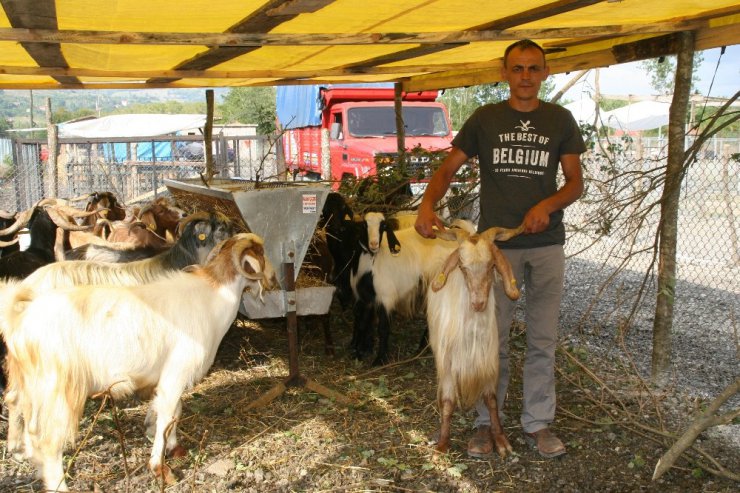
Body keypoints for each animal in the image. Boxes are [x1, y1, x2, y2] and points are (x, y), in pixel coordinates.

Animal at [0, 233, 278, 490]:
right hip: (58, 390)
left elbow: (174, 410)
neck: (213, 298)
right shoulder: (177, 369)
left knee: (27, 423)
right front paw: (159, 467)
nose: (274, 279)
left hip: (31, 387)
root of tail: (20, 320)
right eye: (261, 253)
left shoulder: (167, 374)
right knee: (48, 441)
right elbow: (167, 414)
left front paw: (173, 447)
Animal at [424, 222, 524, 454]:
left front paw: (501, 440)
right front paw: (442, 444)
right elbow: (448, 401)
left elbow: (491, 400)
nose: (478, 303)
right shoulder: (448, 363)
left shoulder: (487, 361)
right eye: (462, 267)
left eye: (491, 265)